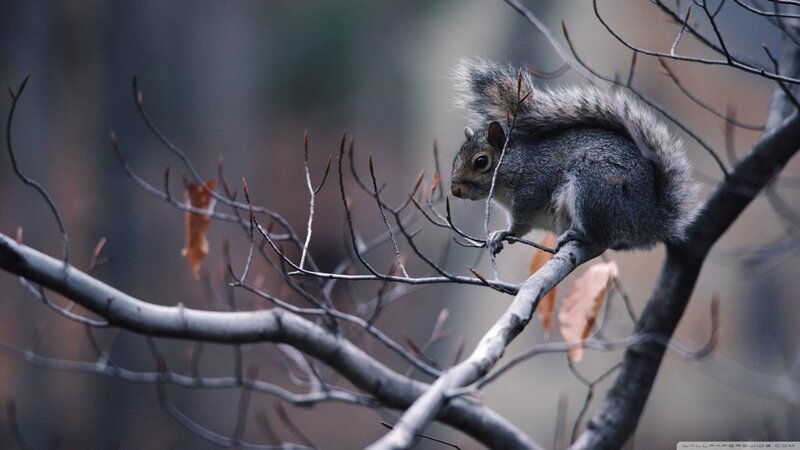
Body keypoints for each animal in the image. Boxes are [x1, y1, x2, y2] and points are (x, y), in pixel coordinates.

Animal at [450, 59, 698, 255]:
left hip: (594, 187)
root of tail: (647, 219)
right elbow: (520, 229)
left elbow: (521, 221)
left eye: (481, 162)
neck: (517, 164)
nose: (455, 191)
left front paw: (503, 232)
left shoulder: (533, 189)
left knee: (601, 236)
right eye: (455, 159)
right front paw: (499, 235)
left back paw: (578, 236)